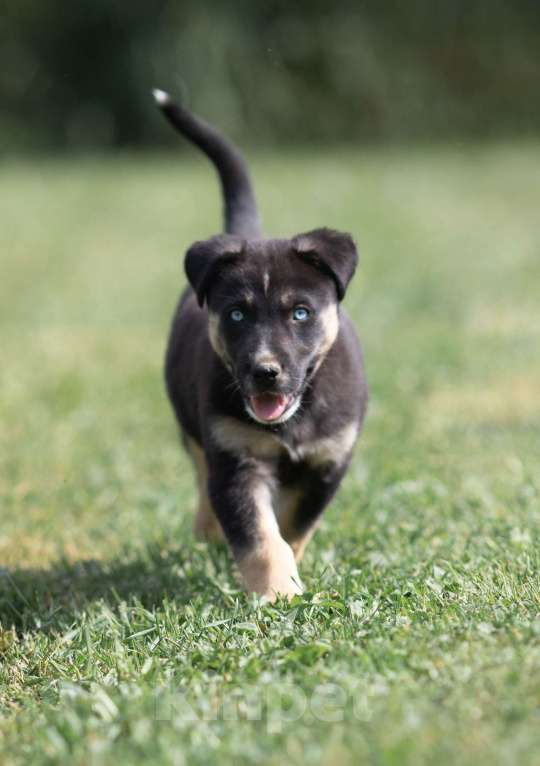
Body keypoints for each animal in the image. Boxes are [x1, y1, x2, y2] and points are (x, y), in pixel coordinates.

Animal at [154, 90, 370, 604]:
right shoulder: (235, 457)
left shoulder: (327, 462)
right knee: (201, 476)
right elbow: (258, 534)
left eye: (300, 313)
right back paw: (208, 531)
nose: (265, 372)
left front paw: (289, 575)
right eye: (236, 315)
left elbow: (293, 526)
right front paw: (277, 593)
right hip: (194, 426)